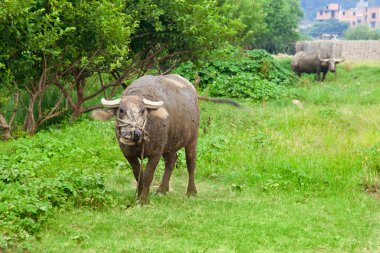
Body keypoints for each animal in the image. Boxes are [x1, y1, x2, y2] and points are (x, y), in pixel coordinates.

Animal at [94, 74, 199, 205]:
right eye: (121, 110)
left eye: (143, 110)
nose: (133, 133)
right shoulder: (128, 154)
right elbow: (138, 174)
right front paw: (138, 197)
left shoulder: (156, 153)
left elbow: (148, 175)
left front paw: (144, 200)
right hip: (169, 145)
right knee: (171, 161)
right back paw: (162, 189)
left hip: (192, 139)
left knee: (191, 163)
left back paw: (191, 192)